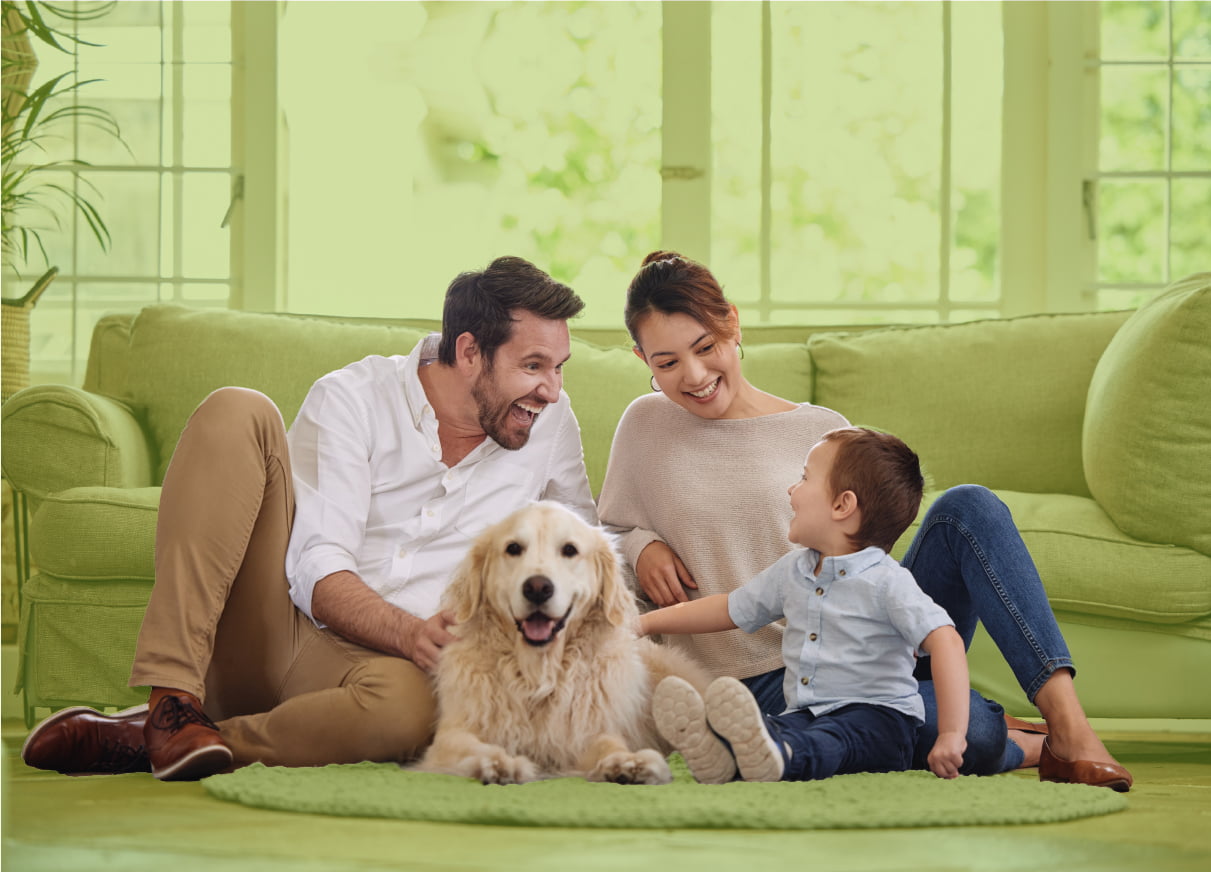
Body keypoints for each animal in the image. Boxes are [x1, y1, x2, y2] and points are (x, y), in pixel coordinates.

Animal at [421, 501, 712, 784]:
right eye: (513, 548)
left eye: (569, 550)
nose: (538, 588)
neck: (538, 674)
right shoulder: (453, 733)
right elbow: (474, 747)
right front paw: (500, 763)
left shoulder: (586, 732)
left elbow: (609, 743)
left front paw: (627, 763)